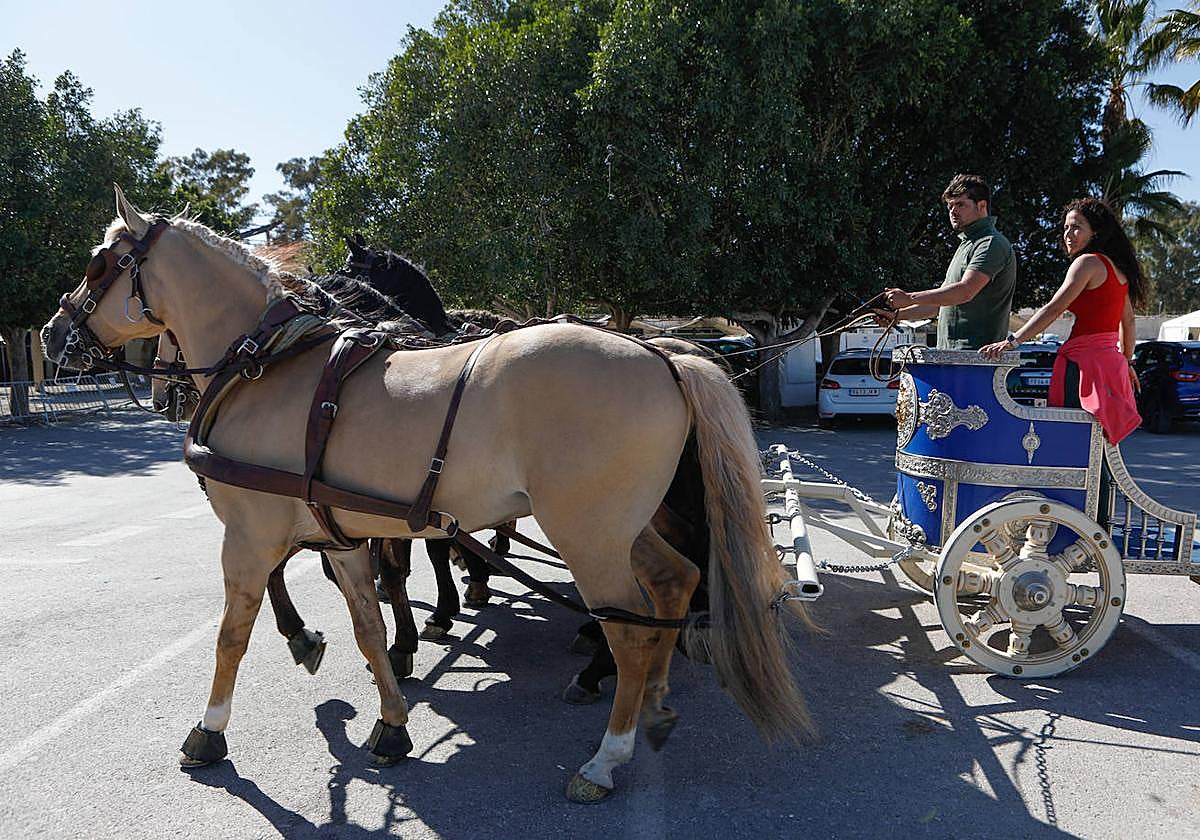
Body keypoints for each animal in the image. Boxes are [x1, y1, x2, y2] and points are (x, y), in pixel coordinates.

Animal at [42, 187, 809, 802]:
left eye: (99, 263)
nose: (53, 332)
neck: (272, 366)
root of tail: (663, 355)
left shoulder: (251, 537)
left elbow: (234, 634)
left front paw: (211, 730)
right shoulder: (338, 535)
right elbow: (368, 625)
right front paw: (390, 721)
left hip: (586, 534)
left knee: (628, 627)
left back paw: (606, 754)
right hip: (627, 525)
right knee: (671, 585)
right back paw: (652, 700)